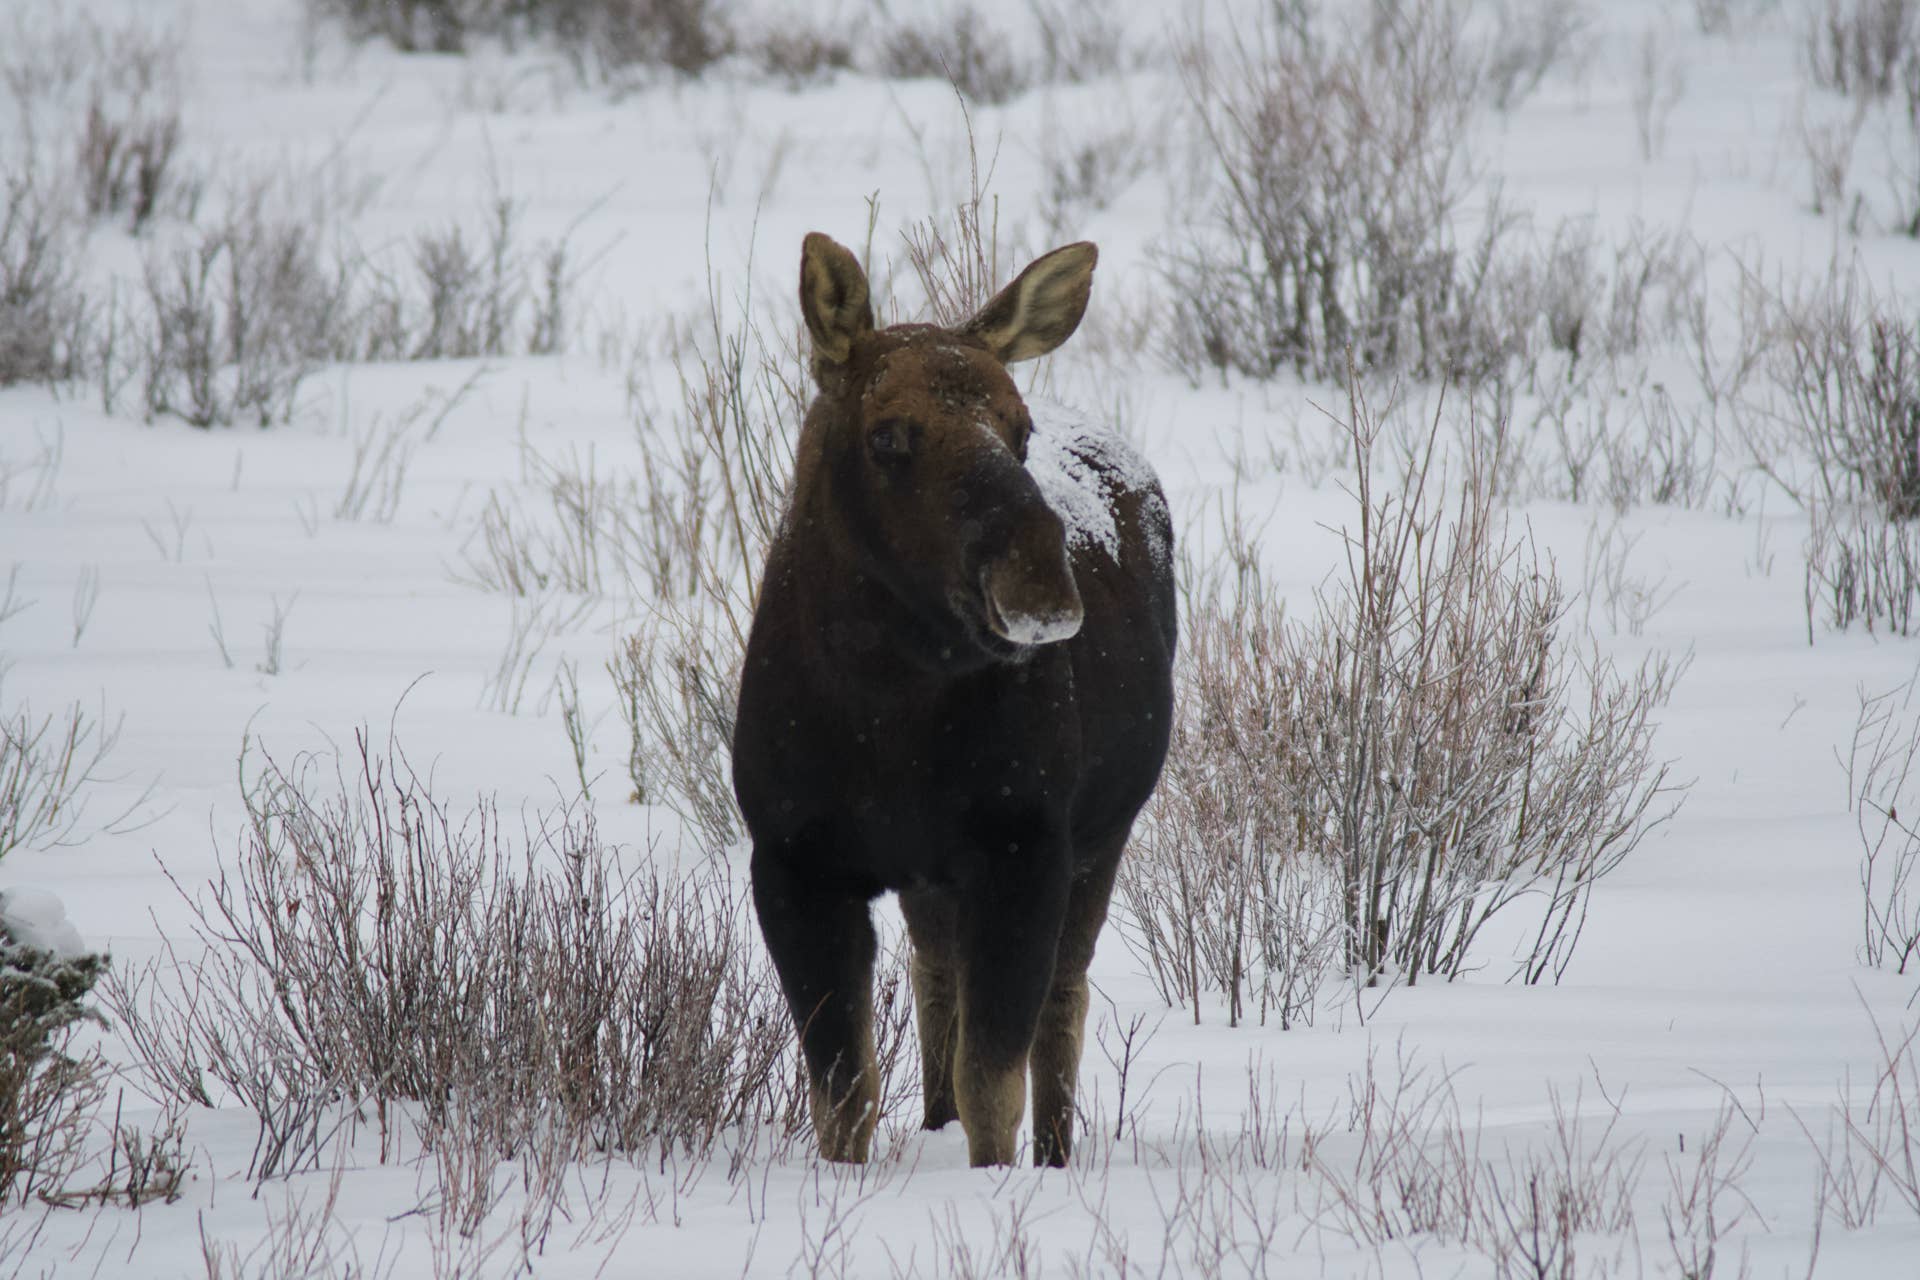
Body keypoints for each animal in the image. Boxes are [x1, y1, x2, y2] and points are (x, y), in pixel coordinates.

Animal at [732, 232, 1175, 1167]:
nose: (1039, 577)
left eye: (1019, 425)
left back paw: (1055, 1153)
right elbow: (844, 1091)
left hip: (1101, 836)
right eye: (888, 434)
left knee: (1063, 1002)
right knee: (936, 984)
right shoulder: (792, 860)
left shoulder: (1023, 850)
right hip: (933, 880)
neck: (886, 705)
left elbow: (992, 1083)